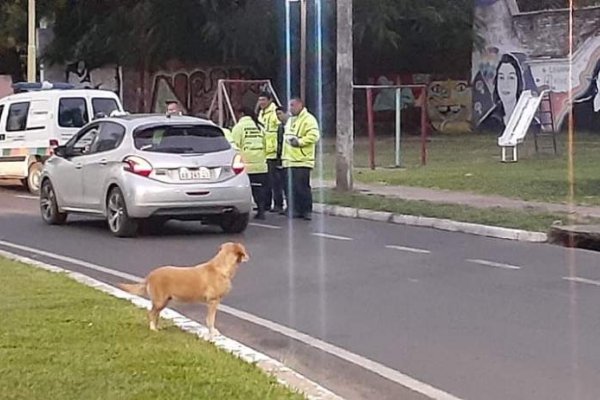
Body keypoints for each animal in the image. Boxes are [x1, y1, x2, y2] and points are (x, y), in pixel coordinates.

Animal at [117, 242, 248, 336]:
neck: (221, 266)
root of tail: (150, 275)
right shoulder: (213, 301)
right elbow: (210, 319)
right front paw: (213, 332)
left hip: (164, 301)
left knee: (156, 314)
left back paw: (157, 327)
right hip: (160, 301)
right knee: (151, 313)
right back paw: (153, 329)